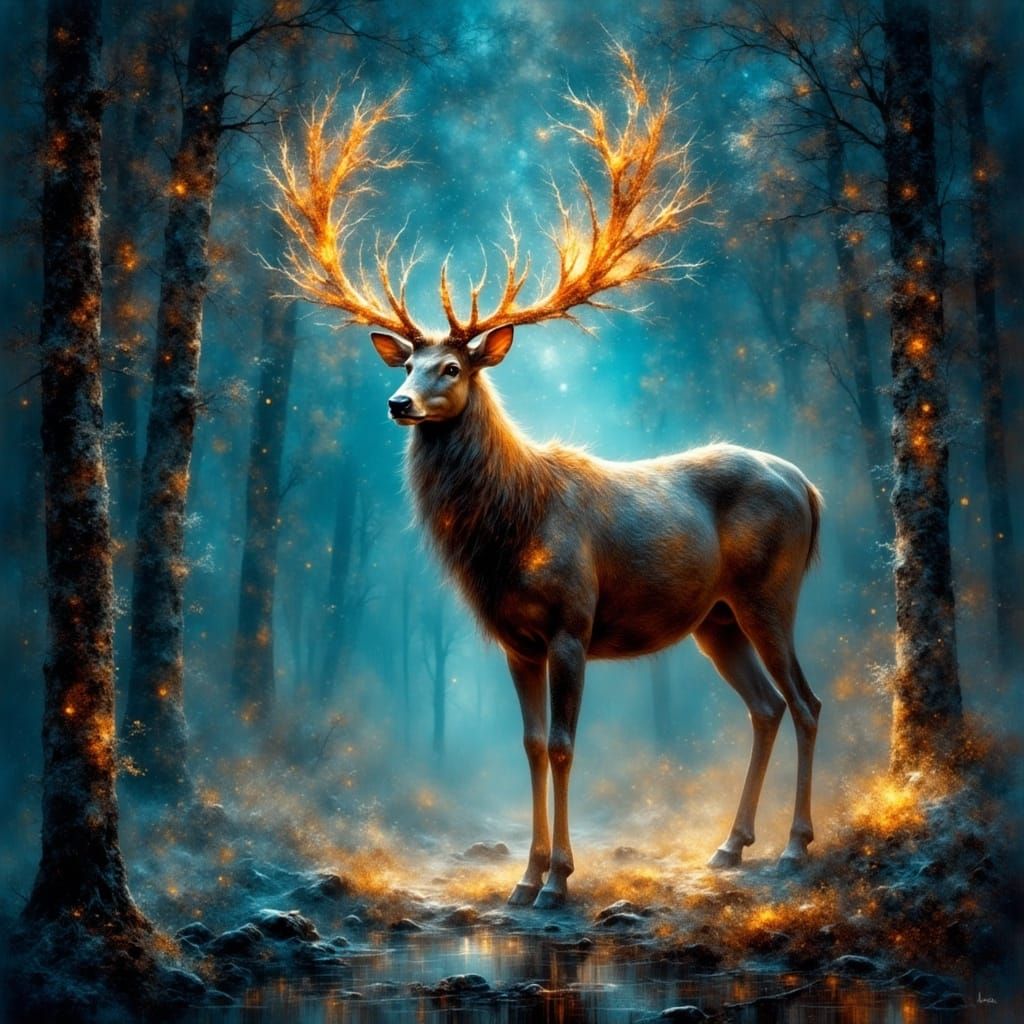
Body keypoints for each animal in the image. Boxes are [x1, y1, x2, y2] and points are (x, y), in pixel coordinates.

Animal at [269, 49, 824, 909]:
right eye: (407, 362)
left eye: (452, 367)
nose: (397, 403)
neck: (511, 533)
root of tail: (808, 486)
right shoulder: (514, 640)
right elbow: (530, 745)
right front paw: (526, 877)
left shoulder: (572, 623)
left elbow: (564, 745)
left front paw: (560, 879)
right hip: (715, 617)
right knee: (765, 706)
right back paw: (730, 846)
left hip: (773, 590)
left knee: (805, 701)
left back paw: (796, 845)